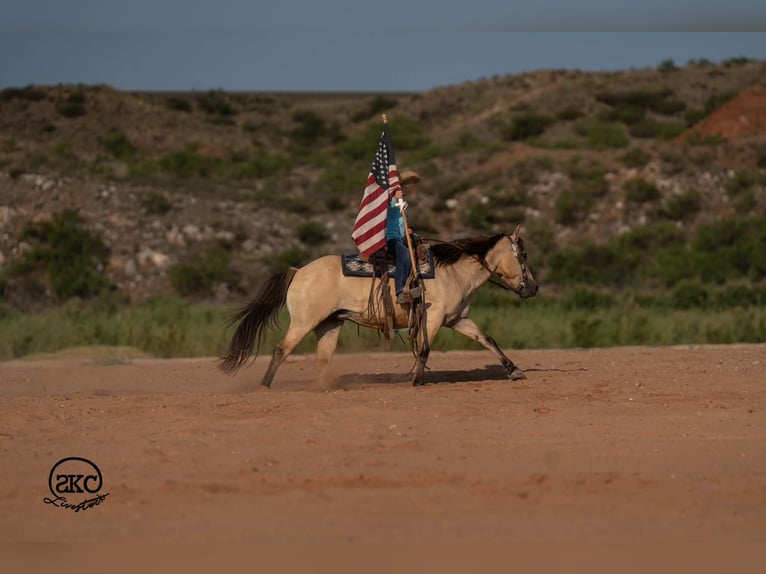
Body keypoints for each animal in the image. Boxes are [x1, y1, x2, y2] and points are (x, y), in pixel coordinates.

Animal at [219, 225, 538, 388]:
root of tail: (298, 271)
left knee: (322, 359)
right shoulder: (433, 317)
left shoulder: (457, 319)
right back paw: (264, 386)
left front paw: (514, 370)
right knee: (280, 350)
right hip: (303, 322)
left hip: (329, 325)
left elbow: (488, 340)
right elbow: (425, 348)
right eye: (522, 255)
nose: (533, 288)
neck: (453, 272)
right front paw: (416, 380)